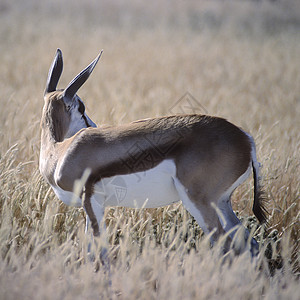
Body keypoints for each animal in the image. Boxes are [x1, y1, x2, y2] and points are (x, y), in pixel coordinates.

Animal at [39, 49, 268, 258]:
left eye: (81, 106)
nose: (93, 126)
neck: (59, 152)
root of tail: (246, 139)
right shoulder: (93, 207)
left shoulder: (92, 202)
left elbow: (100, 253)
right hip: (222, 203)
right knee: (251, 244)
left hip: (199, 203)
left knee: (225, 245)